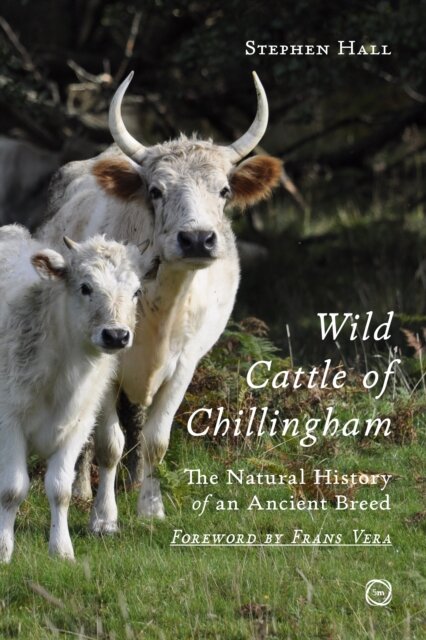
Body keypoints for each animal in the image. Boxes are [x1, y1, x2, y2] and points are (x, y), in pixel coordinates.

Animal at [0, 225, 148, 562]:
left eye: (136, 291)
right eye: (85, 287)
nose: (116, 335)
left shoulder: (77, 426)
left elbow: (60, 489)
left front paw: (62, 549)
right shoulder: (9, 421)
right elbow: (12, 489)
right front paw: (3, 548)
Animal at [36, 72, 282, 532]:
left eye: (224, 190)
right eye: (155, 190)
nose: (198, 239)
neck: (162, 302)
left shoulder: (185, 364)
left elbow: (154, 440)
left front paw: (150, 508)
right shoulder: (108, 360)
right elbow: (108, 443)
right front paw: (103, 518)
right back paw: (81, 492)